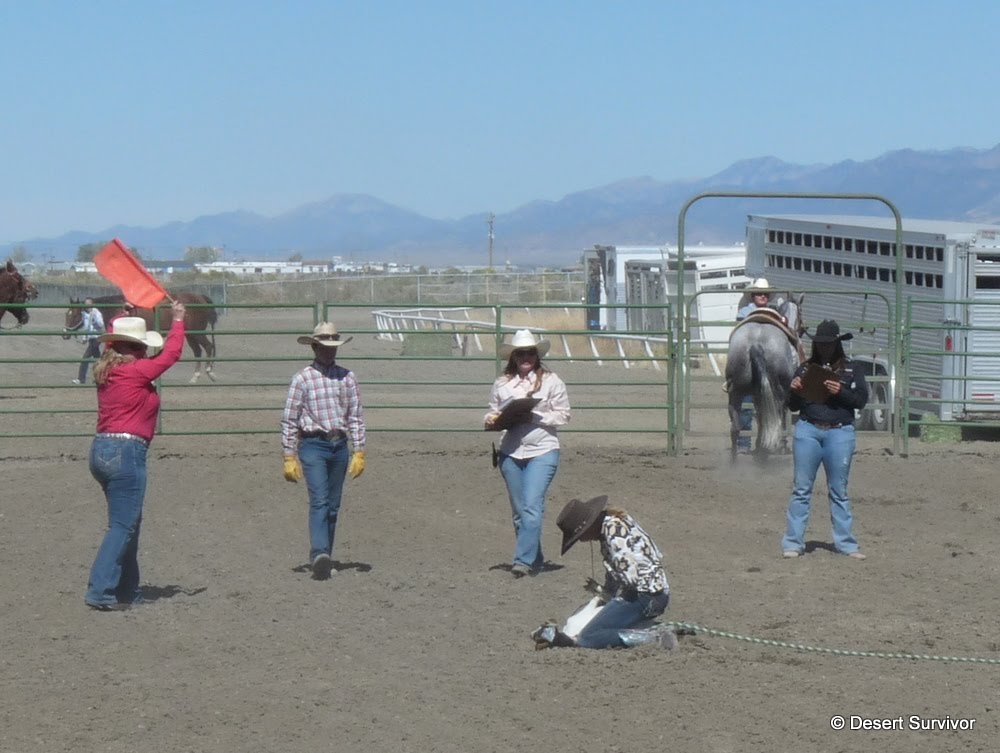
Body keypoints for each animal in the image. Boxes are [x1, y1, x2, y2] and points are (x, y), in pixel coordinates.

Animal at [64, 291, 218, 383]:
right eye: (67, 313)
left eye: (75, 315)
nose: (65, 334)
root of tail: (201, 298)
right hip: (190, 335)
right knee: (197, 351)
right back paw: (195, 377)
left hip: (197, 332)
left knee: (208, 346)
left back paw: (210, 372)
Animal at [724, 294, 805, 461]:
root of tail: (756, 344)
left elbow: (761, 418)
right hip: (777, 392)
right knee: (776, 419)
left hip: (736, 392)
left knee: (736, 428)